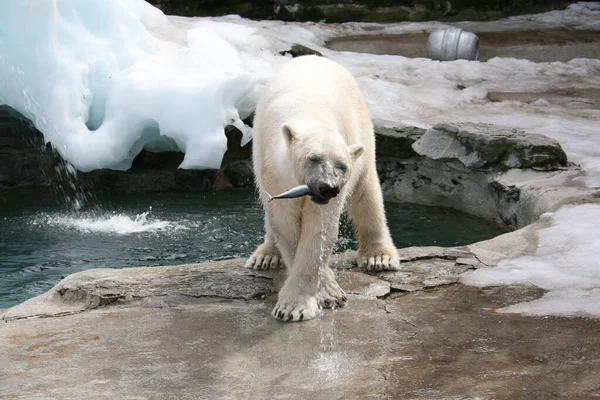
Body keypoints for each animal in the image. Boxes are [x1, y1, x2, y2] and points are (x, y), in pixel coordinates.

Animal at [244, 55, 398, 322]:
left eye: (342, 166)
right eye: (312, 158)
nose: (328, 188)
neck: (309, 114)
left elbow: (319, 229)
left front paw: (303, 303)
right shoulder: (275, 170)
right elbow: (286, 223)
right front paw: (323, 294)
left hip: (363, 130)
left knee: (366, 193)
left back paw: (379, 257)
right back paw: (266, 256)